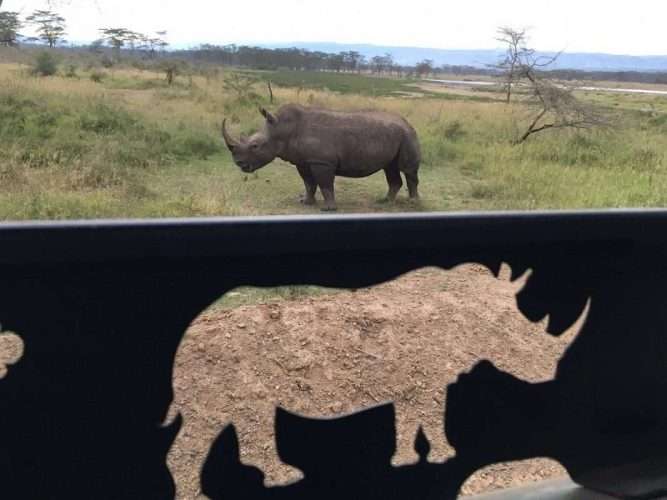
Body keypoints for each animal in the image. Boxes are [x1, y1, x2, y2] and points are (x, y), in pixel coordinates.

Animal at [221, 104, 422, 211]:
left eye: (255, 146)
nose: (239, 163)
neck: (284, 129)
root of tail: (407, 122)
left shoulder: (322, 161)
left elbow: (325, 184)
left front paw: (328, 209)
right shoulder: (303, 161)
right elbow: (309, 183)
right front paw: (306, 202)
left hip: (407, 135)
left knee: (408, 169)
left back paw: (412, 203)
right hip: (396, 135)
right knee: (390, 168)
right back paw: (385, 201)